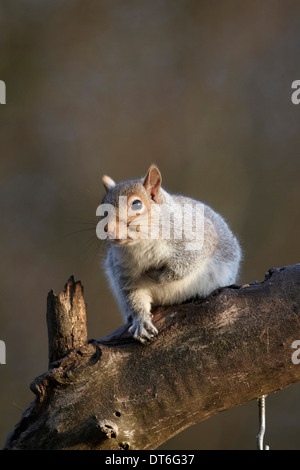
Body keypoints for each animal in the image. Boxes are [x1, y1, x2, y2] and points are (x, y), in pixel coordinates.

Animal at [99, 164, 243, 342]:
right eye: (104, 210)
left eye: (137, 204)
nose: (108, 230)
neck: (142, 243)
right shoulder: (124, 270)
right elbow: (133, 295)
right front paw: (141, 322)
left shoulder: (198, 241)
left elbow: (184, 266)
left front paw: (156, 276)